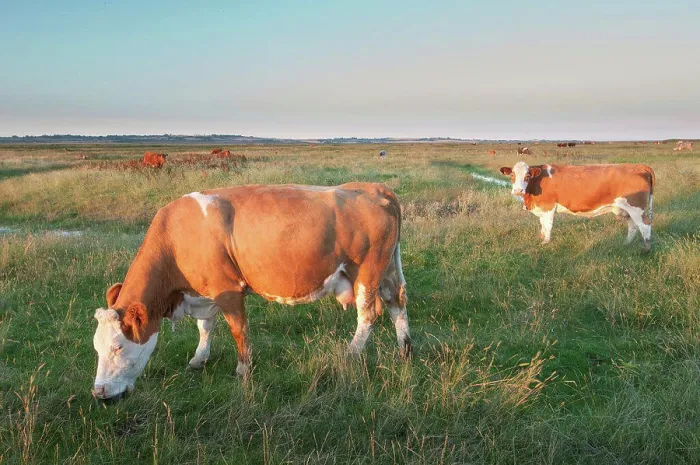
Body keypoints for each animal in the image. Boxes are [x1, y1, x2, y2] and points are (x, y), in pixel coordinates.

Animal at [92, 183, 410, 401]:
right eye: (96, 346)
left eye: (117, 347)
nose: (99, 393)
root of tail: (374, 187)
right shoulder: (205, 292)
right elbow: (205, 327)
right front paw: (199, 358)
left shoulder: (227, 290)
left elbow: (238, 330)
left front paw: (243, 370)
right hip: (387, 271)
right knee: (397, 302)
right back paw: (404, 349)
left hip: (367, 272)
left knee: (368, 314)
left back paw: (352, 353)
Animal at [499, 162, 655, 251]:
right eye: (512, 175)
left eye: (527, 176)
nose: (518, 190)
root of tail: (639, 166)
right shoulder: (542, 209)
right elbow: (542, 225)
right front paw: (542, 239)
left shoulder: (549, 207)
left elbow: (547, 225)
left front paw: (546, 242)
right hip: (626, 209)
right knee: (633, 226)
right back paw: (626, 243)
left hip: (636, 207)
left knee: (645, 224)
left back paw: (647, 249)